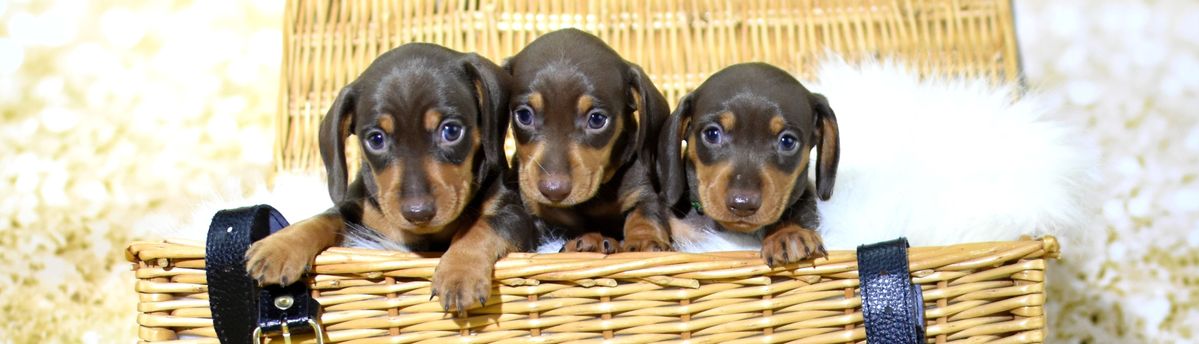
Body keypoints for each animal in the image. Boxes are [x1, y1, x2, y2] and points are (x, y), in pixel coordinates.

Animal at [243, 42, 534, 316]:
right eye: (376, 139)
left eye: (451, 131)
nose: (418, 213)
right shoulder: (360, 218)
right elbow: (326, 217)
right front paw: (281, 245)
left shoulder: (515, 214)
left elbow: (483, 225)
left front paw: (460, 272)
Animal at [503, 29, 676, 254]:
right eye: (524, 116)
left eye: (597, 119)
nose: (553, 191)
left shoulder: (642, 190)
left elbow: (645, 213)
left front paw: (644, 241)